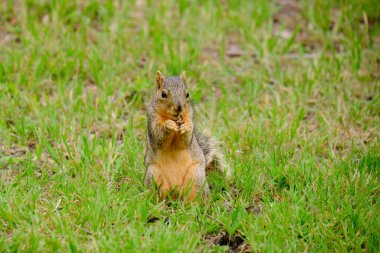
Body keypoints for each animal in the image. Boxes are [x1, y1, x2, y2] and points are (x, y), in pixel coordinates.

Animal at [144, 71, 230, 202]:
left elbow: (185, 141)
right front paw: (168, 125)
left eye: (187, 94)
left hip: (195, 177)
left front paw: (186, 128)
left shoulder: (189, 117)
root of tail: (176, 193)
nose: (179, 108)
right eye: (163, 94)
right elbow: (158, 137)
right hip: (154, 175)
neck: (173, 119)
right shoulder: (152, 121)